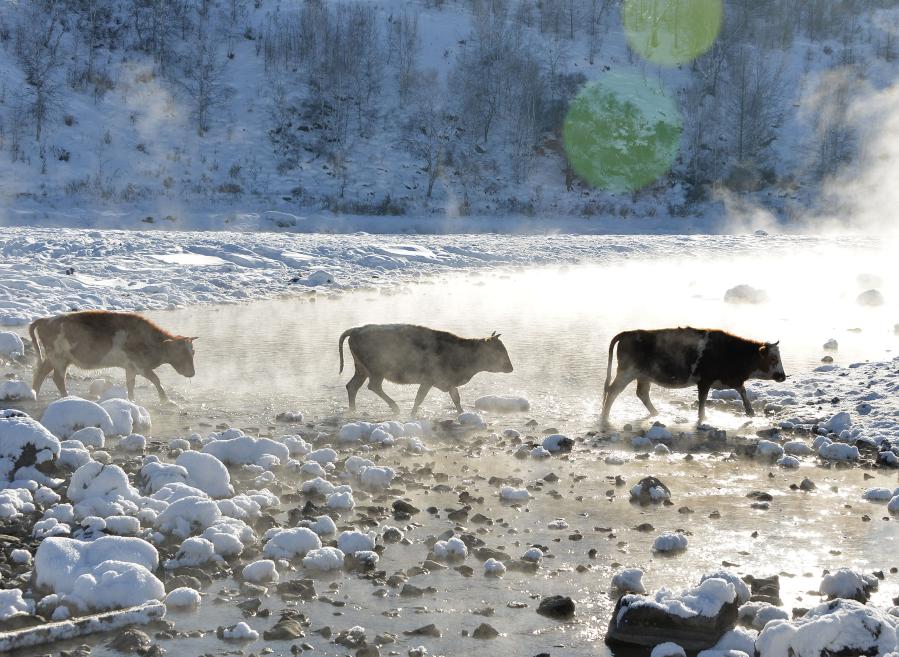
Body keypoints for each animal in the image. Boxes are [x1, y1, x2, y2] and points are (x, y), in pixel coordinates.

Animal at [29, 312, 196, 402]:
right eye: (182, 353)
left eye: (193, 352)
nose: (192, 373)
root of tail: (45, 320)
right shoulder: (141, 366)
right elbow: (156, 380)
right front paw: (165, 399)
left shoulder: (130, 368)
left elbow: (131, 385)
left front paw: (132, 400)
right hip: (59, 360)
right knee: (57, 379)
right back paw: (66, 397)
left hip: (52, 360)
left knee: (40, 374)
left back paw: (34, 394)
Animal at [340, 324, 512, 416]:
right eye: (498, 351)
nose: (510, 368)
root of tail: (356, 330)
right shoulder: (428, 381)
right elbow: (419, 398)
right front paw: (412, 414)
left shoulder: (448, 384)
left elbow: (456, 398)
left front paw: (462, 413)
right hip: (376, 372)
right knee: (373, 386)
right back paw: (396, 408)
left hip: (361, 370)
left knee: (352, 386)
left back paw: (353, 410)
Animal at [604, 328, 788, 426]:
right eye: (773, 359)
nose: (783, 376)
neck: (731, 351)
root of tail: (629, 333)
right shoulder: (704, 381)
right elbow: (703, 398)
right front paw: (702, 417)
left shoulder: (730, 379)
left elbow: (742, 390)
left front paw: (750, 411)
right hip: (626, 372)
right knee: (612, 391)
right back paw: (604, 416)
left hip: (643, 376)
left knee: (642, 393)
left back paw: (656, 413)